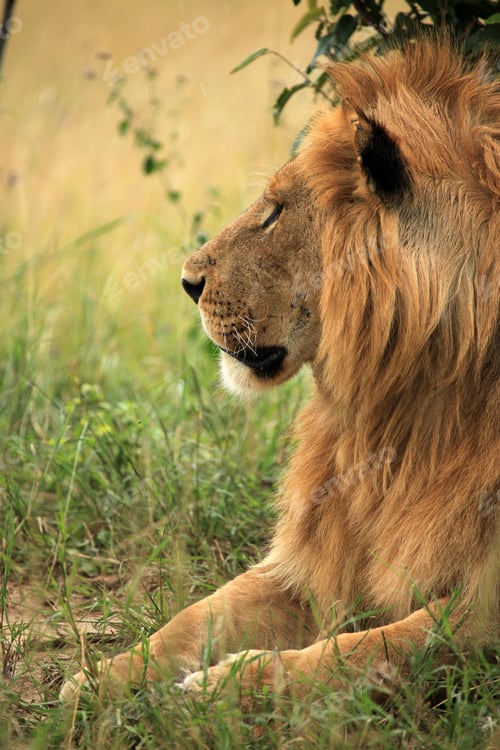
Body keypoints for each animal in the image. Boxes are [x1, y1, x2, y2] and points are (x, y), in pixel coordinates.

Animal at [61, 37, 499, 705]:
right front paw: (95, 682)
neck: (401, 406)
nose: (187, 283)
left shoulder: (481, 613)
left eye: (275, 212)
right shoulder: (305, 564)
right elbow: (195, 615)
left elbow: (365, 651)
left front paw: (216, 687)